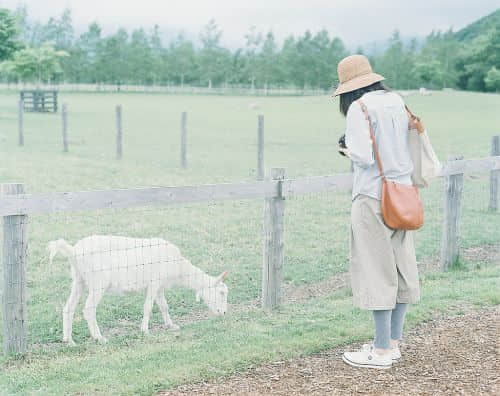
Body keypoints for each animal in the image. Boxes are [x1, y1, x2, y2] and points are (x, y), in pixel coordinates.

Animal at [47, 237, 228, 344]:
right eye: (221, 293)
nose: (224, 313)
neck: (180, 268)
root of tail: (73, 251)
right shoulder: (154, 283)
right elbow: (148, 307)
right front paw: (145, 330)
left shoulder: (159, 286)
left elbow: (164, 306)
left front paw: (171, 325)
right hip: (98, 282)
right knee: (88, 309)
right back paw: (99, 338)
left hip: (78, 280)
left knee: (68, 308)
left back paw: (68, 340)